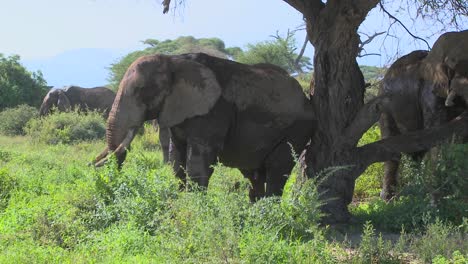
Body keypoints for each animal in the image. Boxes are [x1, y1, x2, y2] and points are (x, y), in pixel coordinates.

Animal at [93, 52, 314, 199]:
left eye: (141, 91)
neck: (173, 60)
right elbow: (177, 161)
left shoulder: (213, 111)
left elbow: (199, 162)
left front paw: (194, 208)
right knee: (255, 175)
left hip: (296, 130)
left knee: (277, 170)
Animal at [378, 29, 466, 200]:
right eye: (454, 66)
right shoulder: (429, 93)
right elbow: (438, 136)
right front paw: (440, 194)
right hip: (385, 108)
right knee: (393, 152)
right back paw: (388, 200)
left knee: (416, 155)